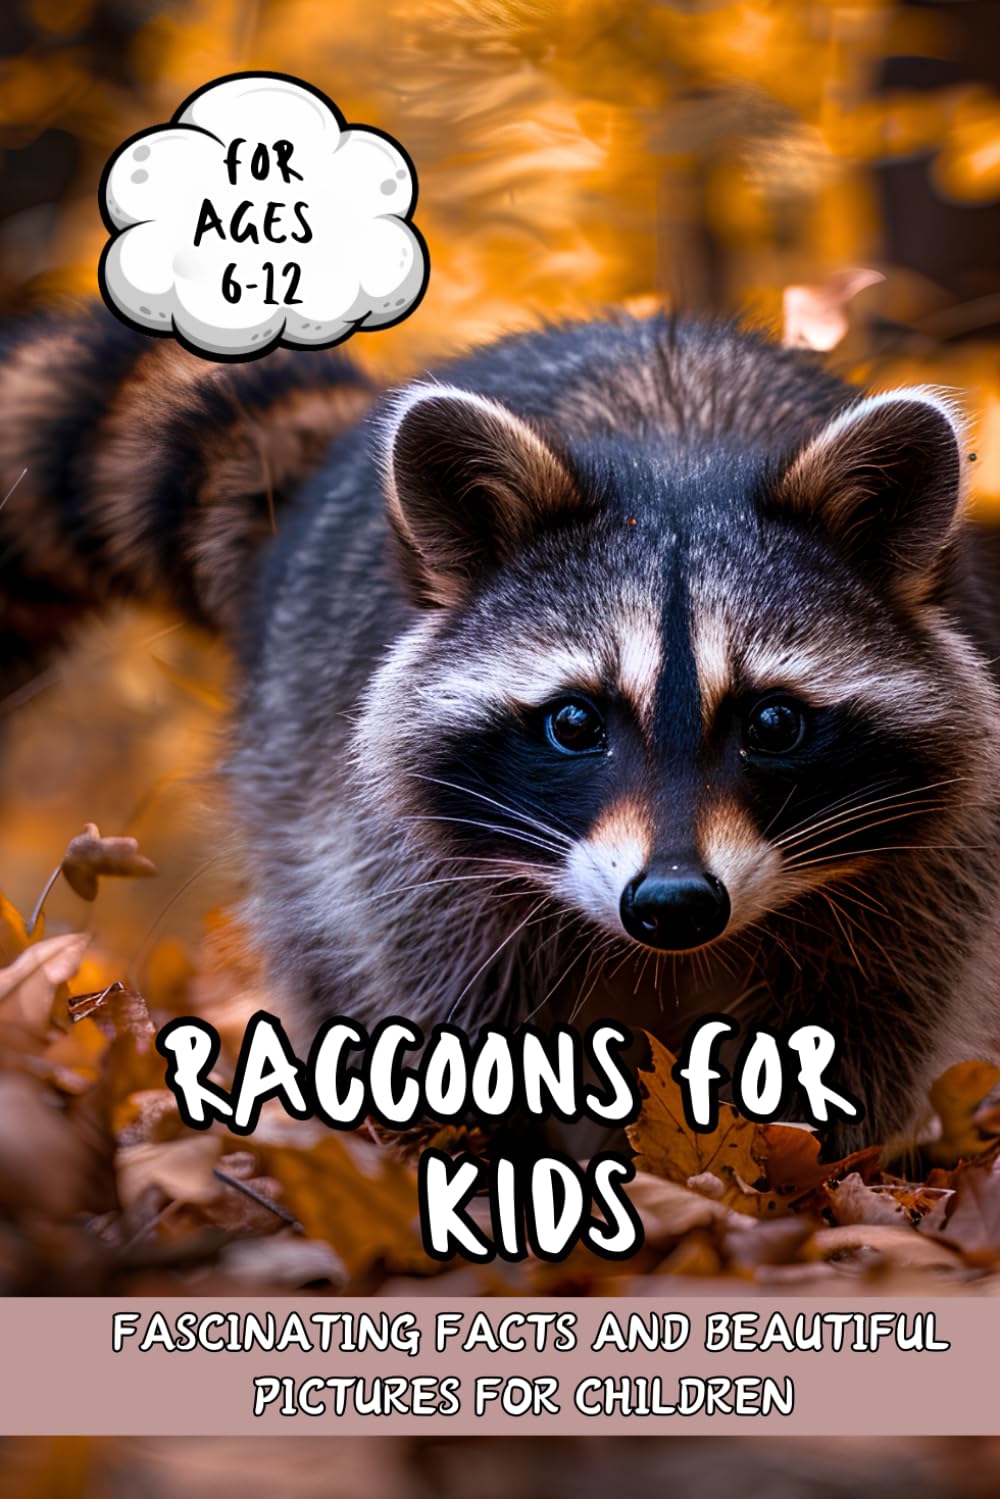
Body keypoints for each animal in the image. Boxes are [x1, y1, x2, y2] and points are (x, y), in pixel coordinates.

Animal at [3, 304, 1000, 1151]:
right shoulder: (409, 866)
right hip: (296, 777)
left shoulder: (917, 875)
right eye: (574, 721)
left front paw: (818, 1171)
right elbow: (455, 1017)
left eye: (776, 721)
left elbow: (866, 1022)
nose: (674, 903)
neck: (679, 457)